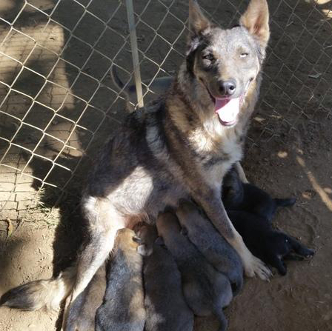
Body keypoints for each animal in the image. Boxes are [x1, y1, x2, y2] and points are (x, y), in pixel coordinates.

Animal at [1, 0, 272, 326]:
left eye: (243, 55)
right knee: (70, 298)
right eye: (209, 58)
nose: (226, 87)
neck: (211, 126)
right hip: (99, 250)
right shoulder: (207, 194)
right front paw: (251, 263)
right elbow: (233, 234)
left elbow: (239, 174)